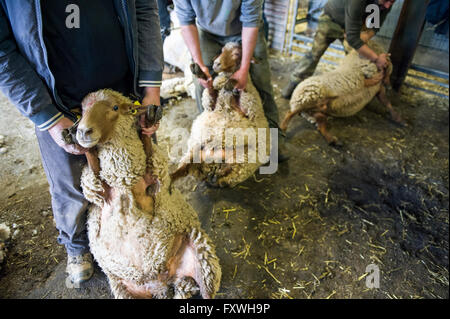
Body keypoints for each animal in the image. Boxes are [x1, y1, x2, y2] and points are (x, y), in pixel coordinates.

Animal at [75, 90, 221, 300]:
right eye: (82, 111)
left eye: (115, 107)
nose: (83, 131)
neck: (124, 179)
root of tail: (161, 285)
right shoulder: (99, 190)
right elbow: (92, 169)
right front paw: (76, 143)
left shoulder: (155, 174)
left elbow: (149, 149)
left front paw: (148, 121)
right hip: (122, 288)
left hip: (204, 259)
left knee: (206, 289)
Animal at [171, 41, 270, 189]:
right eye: (222, 50)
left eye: (237, 54)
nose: (216, 64)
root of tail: (212, 165)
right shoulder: (211, 105)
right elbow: (210, 88)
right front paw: (200, 72)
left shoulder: (248, 107)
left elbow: (237, 86)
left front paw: (232, 82)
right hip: (194, 151)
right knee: (184, 169)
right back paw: (169, 179)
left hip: (243, 159)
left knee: (226, 176)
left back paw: (217, 175)